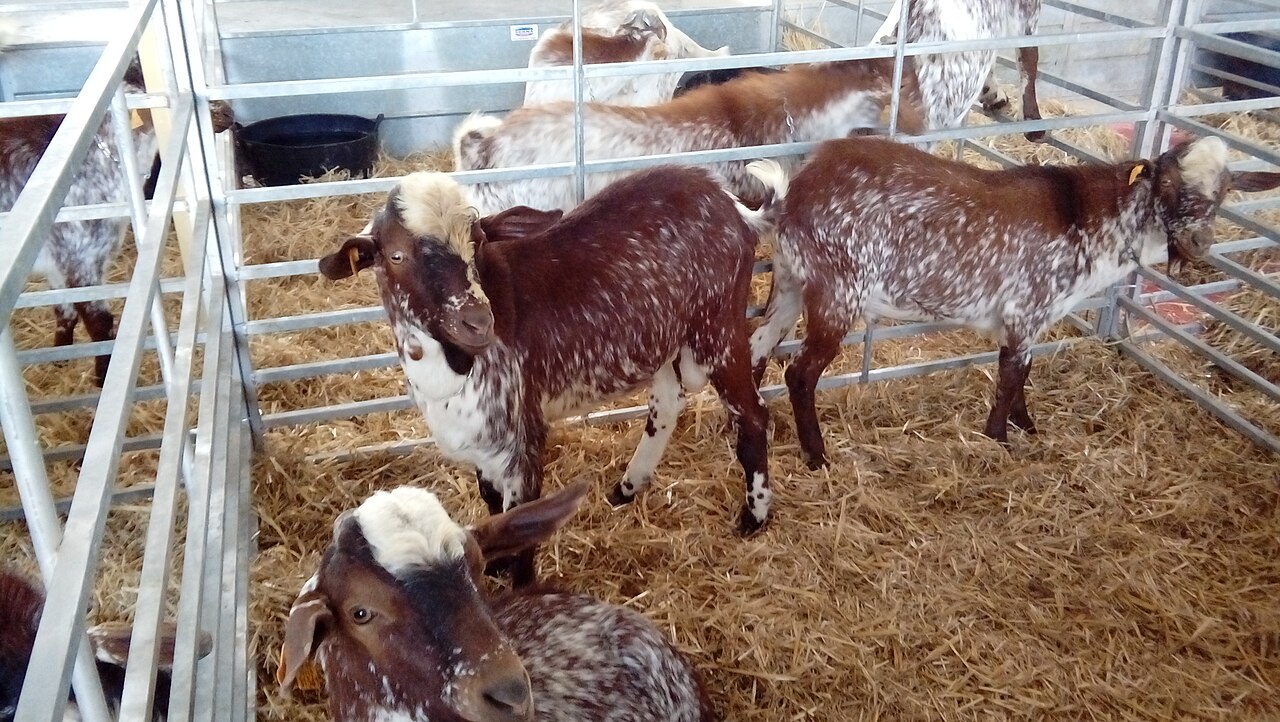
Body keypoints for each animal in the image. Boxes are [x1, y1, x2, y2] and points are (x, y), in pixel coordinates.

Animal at [318, 165, 773, 583]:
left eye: (478, 242)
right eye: (396, 255)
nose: (478, 322)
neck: (447, 371)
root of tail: (733, 206)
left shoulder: (524, 440)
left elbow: (522, 526)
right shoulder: (482, 443)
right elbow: (491, 502)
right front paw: (494, 563)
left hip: (719, 329)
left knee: (751, 413)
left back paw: (754, 515)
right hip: (661, 340)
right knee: (667, 404)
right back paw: (627, 487)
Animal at [746, 136, 1280, 467]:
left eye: (1224, 191)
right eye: (1167, 184)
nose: (1198, 244)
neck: (1085, 218)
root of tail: (794, 195)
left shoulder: (1033, 317)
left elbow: (1024, 370)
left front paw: (1027, 426)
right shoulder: (1027, 306)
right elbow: (1011, 373)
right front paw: (999, 437)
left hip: (791, 283)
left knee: (756, 348)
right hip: (838, 291)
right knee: (800, 374)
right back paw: (817, 456)